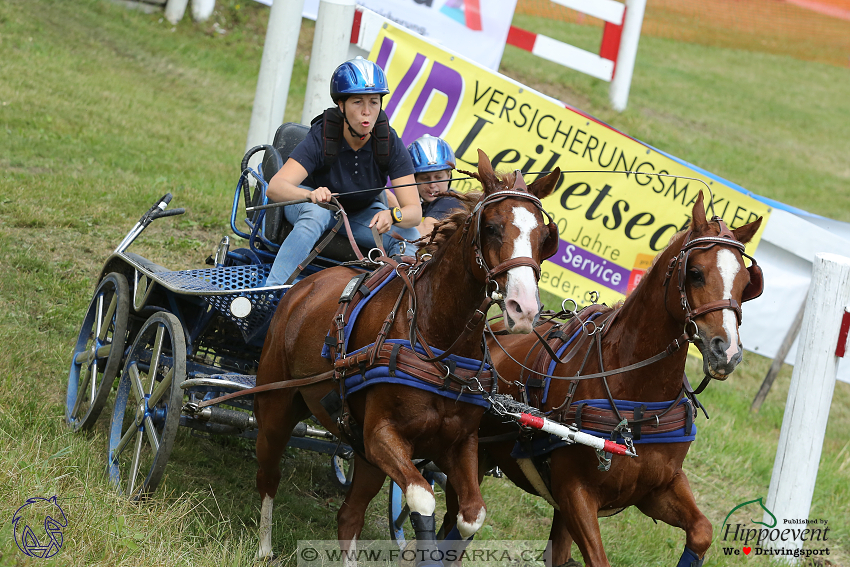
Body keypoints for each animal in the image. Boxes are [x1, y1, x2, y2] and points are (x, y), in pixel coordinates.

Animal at [253, 152, 556, 564]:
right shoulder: (383, 436)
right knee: (268, 475)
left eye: (545, 238)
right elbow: (422, 499)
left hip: (362, 452)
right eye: (492, 227)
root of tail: (306, 284)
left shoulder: (459, 445)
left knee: (349, 514)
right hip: (276, 404)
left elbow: (471, 517)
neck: (438, 346)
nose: (523, 309)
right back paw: (264, 547)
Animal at [470, 194, 760, 567]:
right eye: (695, 273)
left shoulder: (658, 488)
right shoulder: (575, 494)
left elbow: (702, 531)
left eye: (745, 283)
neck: (637, 397)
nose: (728, 351)